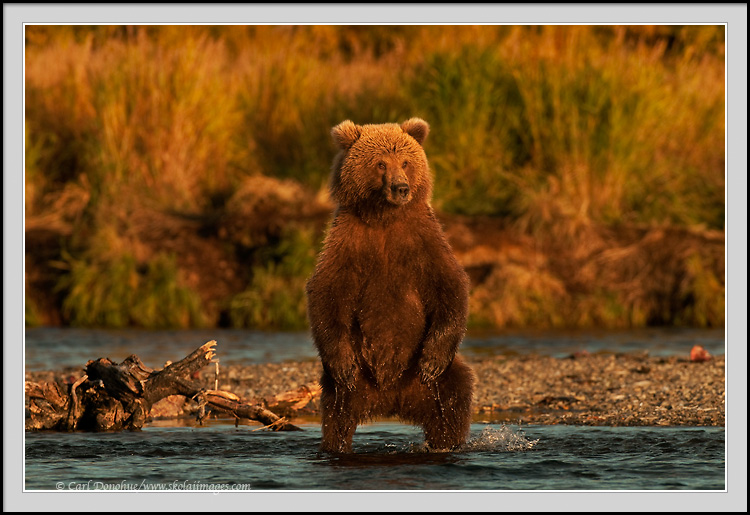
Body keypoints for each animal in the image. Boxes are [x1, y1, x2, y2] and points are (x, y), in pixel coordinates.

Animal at [306, 119, 476, 454]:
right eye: (381, 163)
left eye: (406, 162)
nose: (401, 188)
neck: (384, 217)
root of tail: (390, 397)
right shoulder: (348, 241)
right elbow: (327, 291)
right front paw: (343, 365)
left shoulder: (422, 238)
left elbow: (450, 286)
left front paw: (431, 362)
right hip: (354, 380)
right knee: (337, 411)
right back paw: (336, 444)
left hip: (434, 384)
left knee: (453, 399)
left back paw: (447, 442)